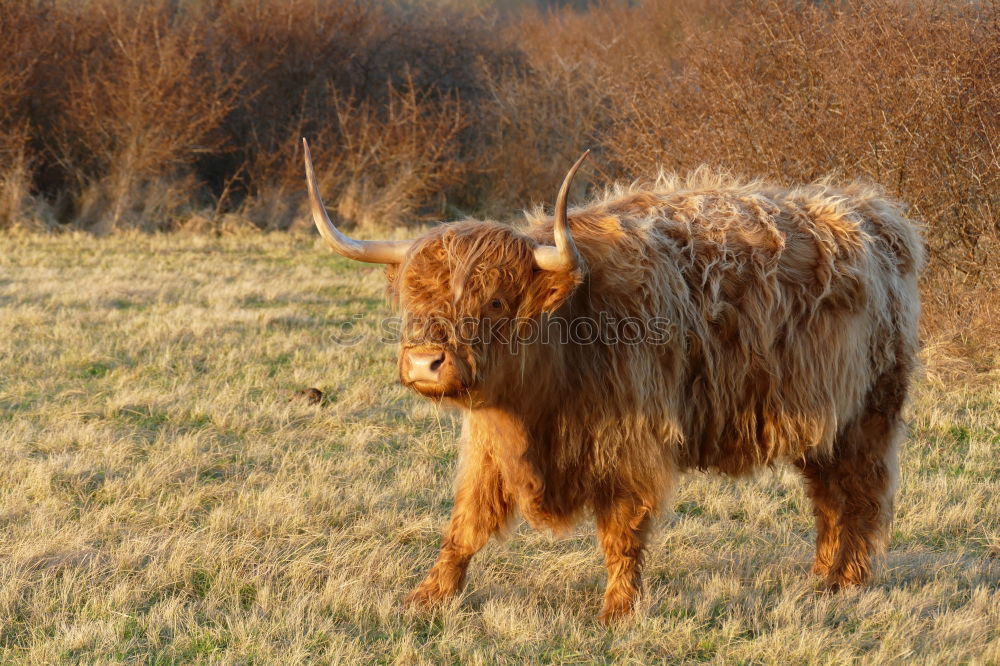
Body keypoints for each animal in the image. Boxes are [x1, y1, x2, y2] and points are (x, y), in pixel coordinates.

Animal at [300, 137, 924, 620]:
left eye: (496, 301)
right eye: (414, 297)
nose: (425, 362)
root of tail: (878, 216)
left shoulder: (630, 444)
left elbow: (624, 529)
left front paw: (618, 610)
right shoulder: (489, 443)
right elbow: (467, 522)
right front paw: (427, 595)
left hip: (870, 413)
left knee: (861, 493)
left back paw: (850, 581)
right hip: (825, 420)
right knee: (828, 498)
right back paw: (821, 577)